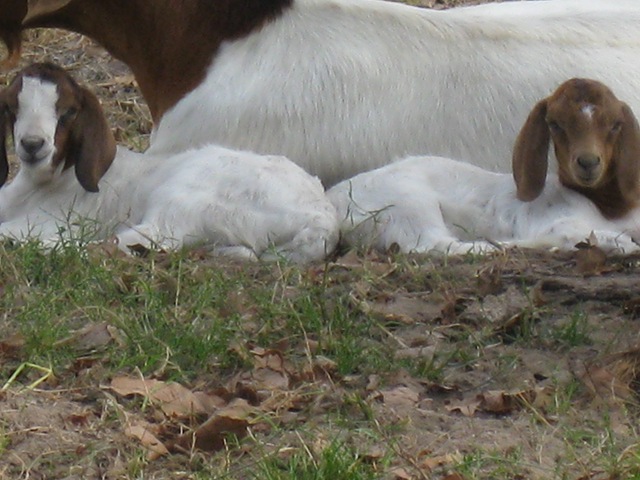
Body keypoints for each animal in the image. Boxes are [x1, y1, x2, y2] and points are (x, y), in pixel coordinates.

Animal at [0, 63, 339, 263]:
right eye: (12, 108)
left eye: (68, 112)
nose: (33, 145)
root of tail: (321, 218)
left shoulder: (58, 220)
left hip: (187, 198)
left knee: (137, 240)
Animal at [327, 79, 640, 255]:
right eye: (555, 124)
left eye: (616, 124)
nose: (588, 162)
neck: (608, 209)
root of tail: (335, 199)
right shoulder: (557, 222)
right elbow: (579, 234)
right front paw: (620, 244)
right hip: (407, 205)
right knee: (430, 245)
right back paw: (487, 248)